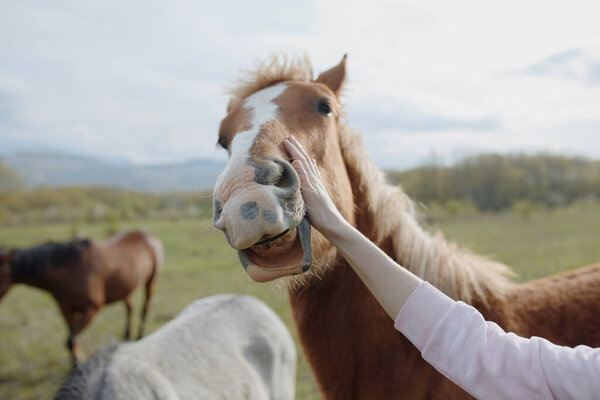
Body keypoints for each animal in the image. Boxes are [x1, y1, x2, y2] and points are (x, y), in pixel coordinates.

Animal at [0, 230, 163, 364]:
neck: (70, 270)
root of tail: (148, 236)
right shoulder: (66, 310)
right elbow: (73, 339)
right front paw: (74, 363)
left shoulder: (92, 309)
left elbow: (71, 340)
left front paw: (78, 362)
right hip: (126, 288)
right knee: (129, 308)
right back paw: (127, 335)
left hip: (151, 282)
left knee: (145, 308)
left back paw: (139, 337)